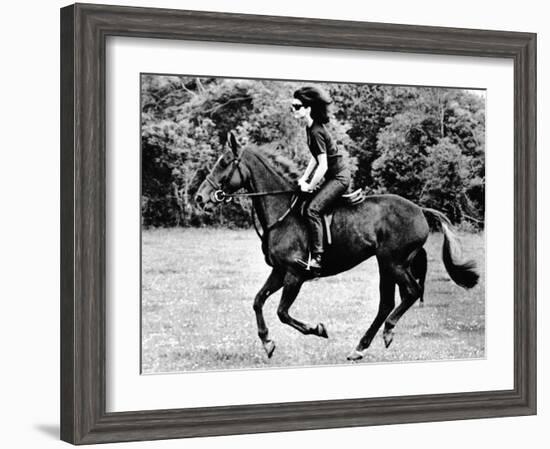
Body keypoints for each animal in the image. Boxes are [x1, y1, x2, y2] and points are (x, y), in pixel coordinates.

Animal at [196, 133, 480, 360]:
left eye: (224, 162)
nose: (199, 197)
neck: (282, 213)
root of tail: (420, 210)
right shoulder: (279, 271)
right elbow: (257, 301)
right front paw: (267, 342)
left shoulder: (295, 275)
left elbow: (282, 312)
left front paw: (318, 330)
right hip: (386, 264)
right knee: (387, 302)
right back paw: (360, 347)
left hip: (394, 262)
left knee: (410, 292)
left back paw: (386, 331)